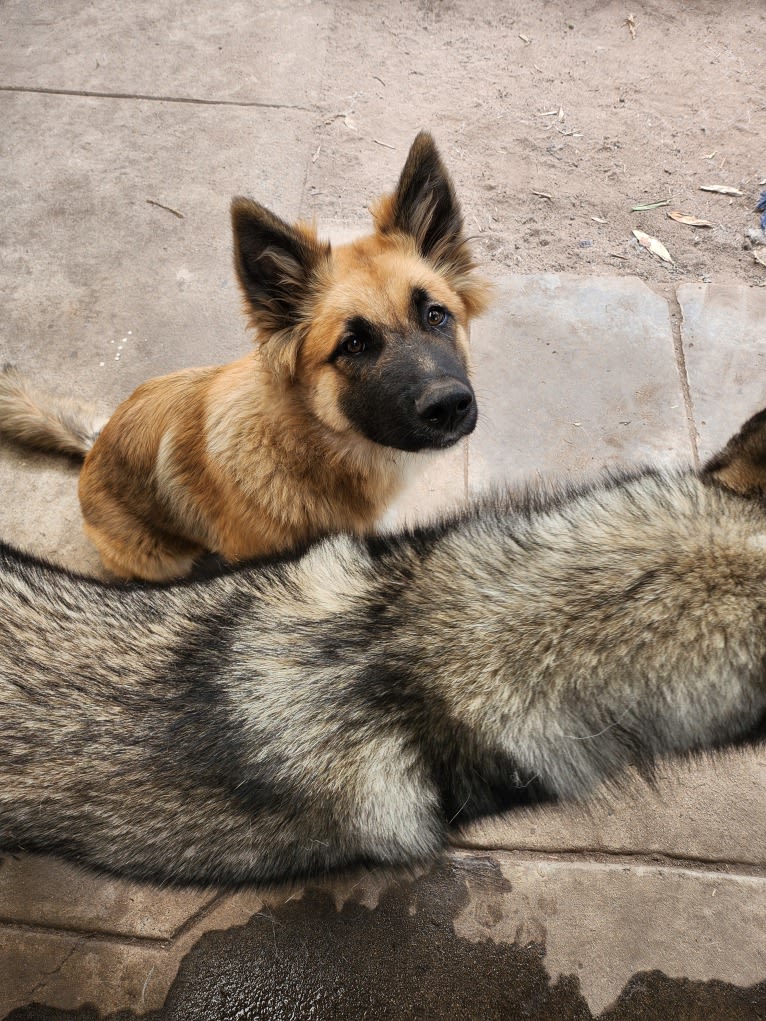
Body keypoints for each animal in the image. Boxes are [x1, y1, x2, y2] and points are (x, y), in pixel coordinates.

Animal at [0, 133, 488, 584]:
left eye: (435, 315)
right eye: (353, 345)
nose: (448, 406)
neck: (306, 448)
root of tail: (94, 443)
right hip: (160, 558)